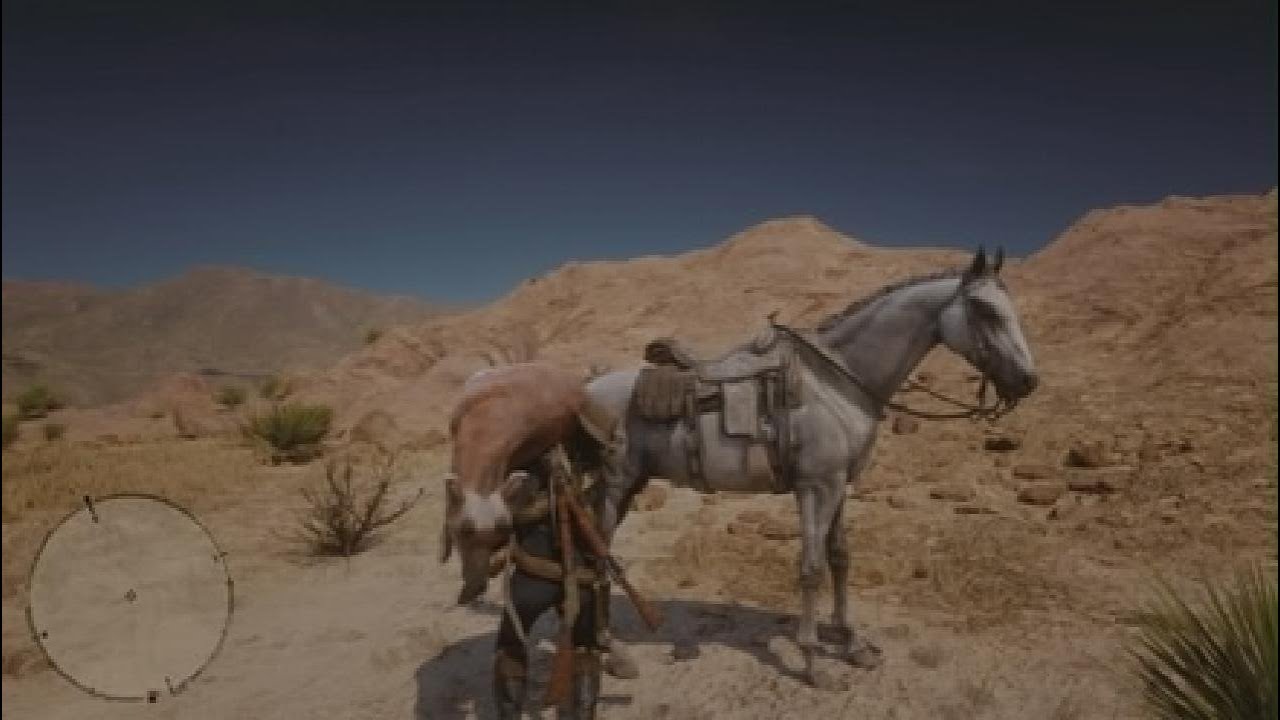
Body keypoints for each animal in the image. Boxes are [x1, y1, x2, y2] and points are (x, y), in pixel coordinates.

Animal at [581, 247, 1040, 685]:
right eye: (983, 309)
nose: (1027, 380)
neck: (840, 383)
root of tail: (586, 388)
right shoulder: (816, 487)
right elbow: (812, 567)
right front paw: (815, 661)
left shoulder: (841, 484)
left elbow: (840, 557)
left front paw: (853, 643)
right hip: (616, 484)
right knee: (599, 556)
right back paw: (613, 651)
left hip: (625, 487)